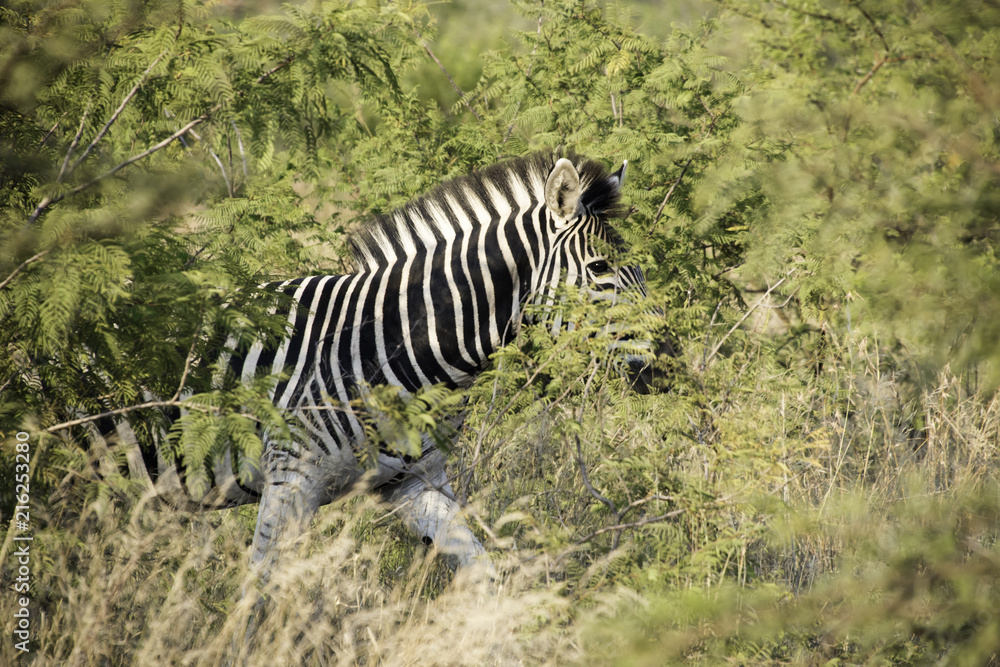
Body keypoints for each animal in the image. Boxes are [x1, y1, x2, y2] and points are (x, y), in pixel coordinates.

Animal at [87, 150, 667, 589]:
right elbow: (259, 595)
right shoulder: (289, 477)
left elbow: (484, 571)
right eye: (599, 269)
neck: (389, 347)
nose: (668, 364)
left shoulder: (415, 482)